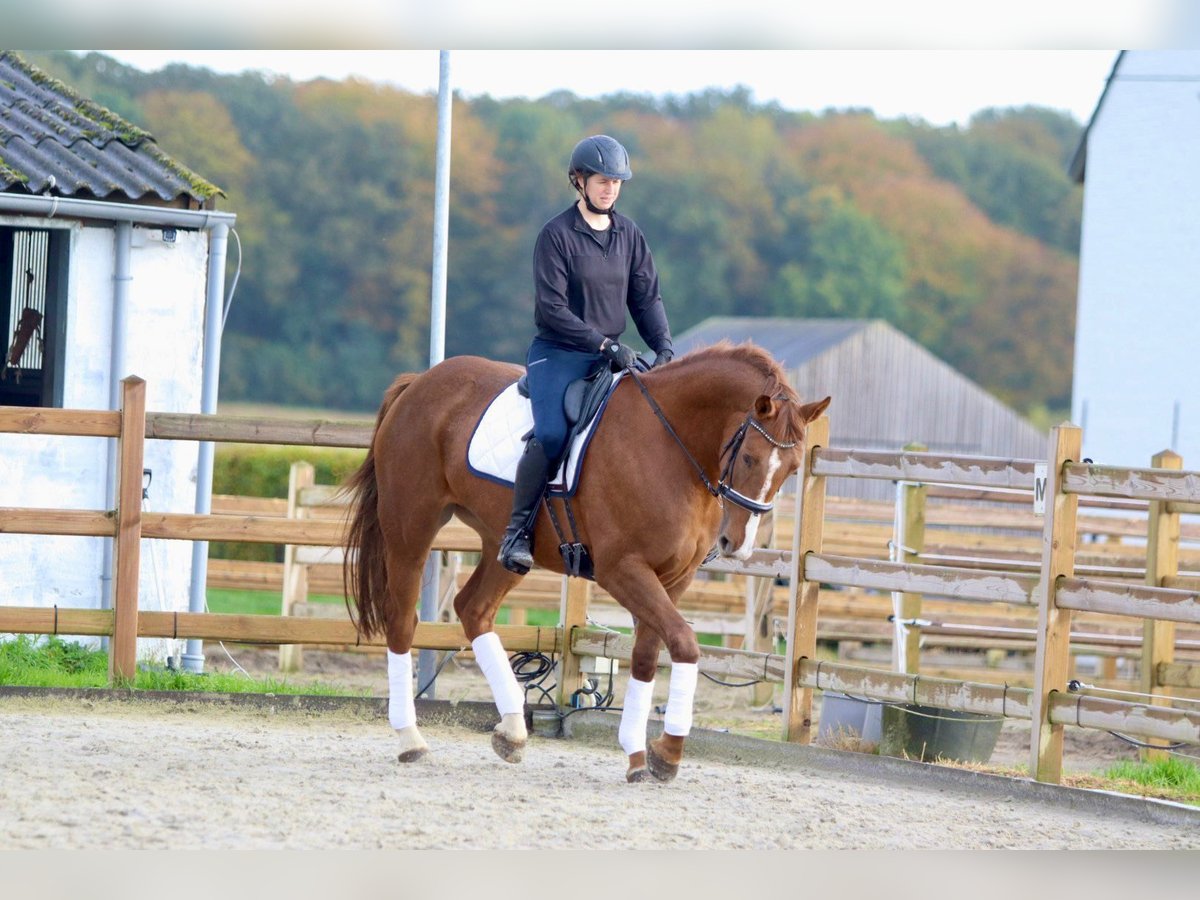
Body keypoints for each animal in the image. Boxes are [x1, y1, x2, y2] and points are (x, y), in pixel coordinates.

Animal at [348, 343, 830, 782]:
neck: (670, 444)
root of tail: (421, 382)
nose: (738, 544)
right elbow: (684, 643)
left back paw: (512, 732)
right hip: (411, 528)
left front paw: (638, 755)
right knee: (401, 620)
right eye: (749, 457)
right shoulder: (623, 571)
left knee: (473, 609)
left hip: (502, 545)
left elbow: (645, 656)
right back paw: (411, 739)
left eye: (791, 469)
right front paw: (668, 753)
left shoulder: (673, 579)